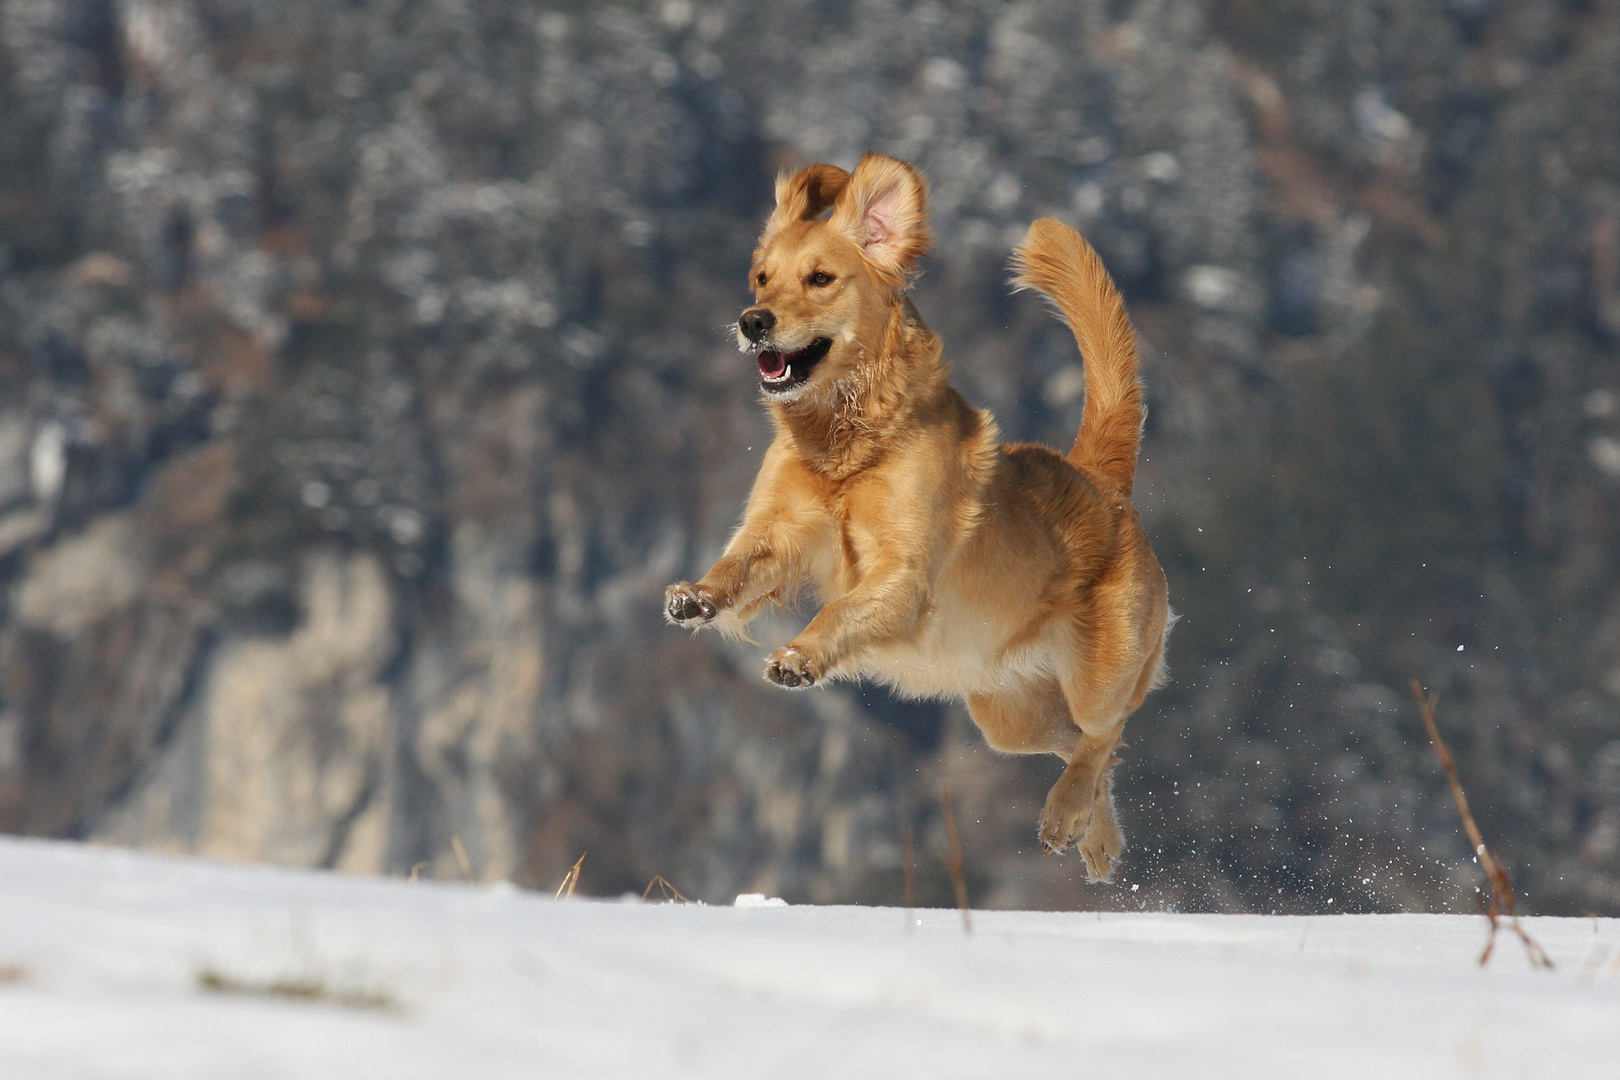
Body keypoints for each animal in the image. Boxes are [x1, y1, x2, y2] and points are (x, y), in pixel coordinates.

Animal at [664, 152, 1172, 880]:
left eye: (820, 278)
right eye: (761, 276)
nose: (751, 320)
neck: (849, 439)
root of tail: (1102, 481)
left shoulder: (901, 572)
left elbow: (839, 611)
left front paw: (799, 656)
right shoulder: (781, 528)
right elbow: (738, 562)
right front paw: (698, 597)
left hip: (1102, 669)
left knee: (1104, 734)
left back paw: (1066, 815)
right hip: (1005, 712)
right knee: (1079, 745)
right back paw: (1096, 838)